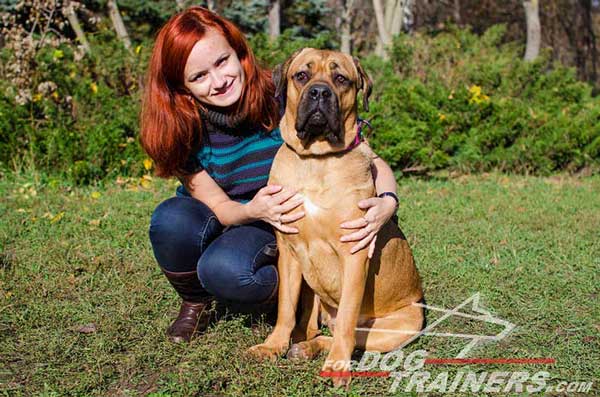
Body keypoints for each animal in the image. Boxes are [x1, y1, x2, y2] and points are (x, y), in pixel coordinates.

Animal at [246, 48, 424, 386]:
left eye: (341, 79)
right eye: (302, 75)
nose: (319, 92)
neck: (317, 159)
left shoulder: (354, 252)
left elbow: (346, 322)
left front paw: (338, 366)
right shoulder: (288, 251)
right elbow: (285, 309)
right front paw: (273, 346)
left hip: (400, 325)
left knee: (349, 333)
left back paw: (313, 349)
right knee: (313, 324)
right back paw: (301, 343)